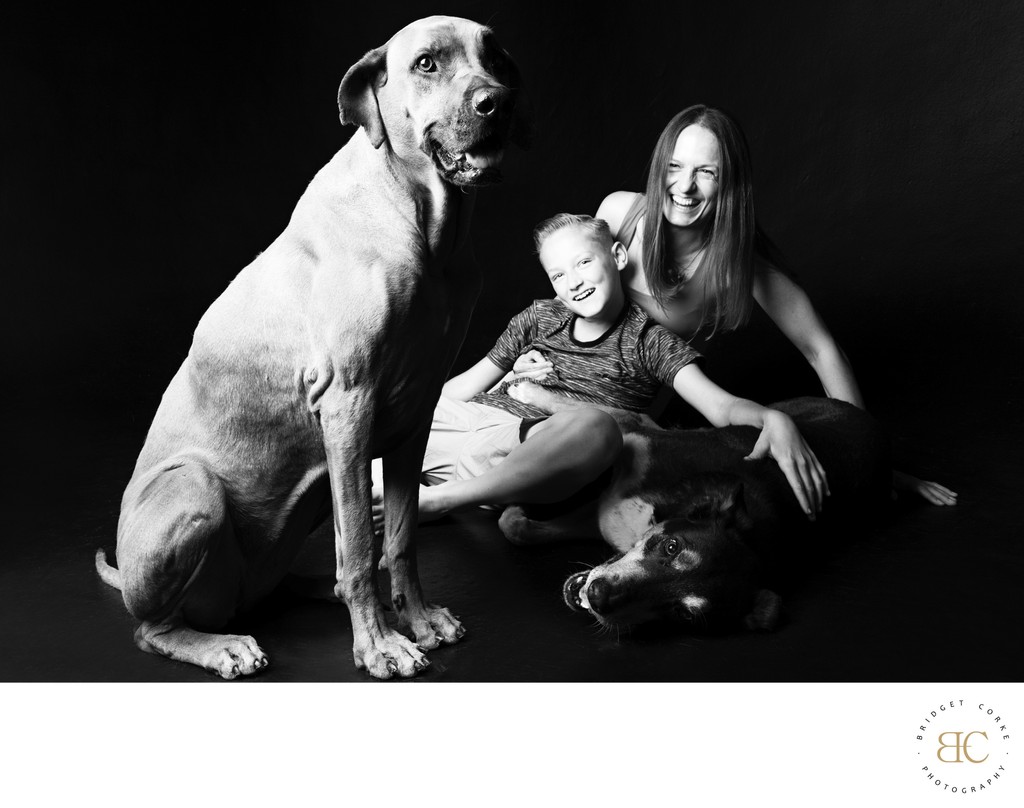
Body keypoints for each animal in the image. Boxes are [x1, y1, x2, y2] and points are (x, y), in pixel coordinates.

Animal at [95, 15, 524, 675]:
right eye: (426, 63)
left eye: (495, 57)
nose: (496, 102)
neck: (422, 221)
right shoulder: (349, 402)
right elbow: (364, 538)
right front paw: (379, 646)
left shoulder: (415, 411)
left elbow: (399, 535)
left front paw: (418, 618)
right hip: (195, 490)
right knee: (153, 628)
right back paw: (223, 644)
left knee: (307, 575)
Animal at [495, 395, 888, 630]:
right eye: (671, 547)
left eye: (681, 613)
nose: (599, 597)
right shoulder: (630, 460)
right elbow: (607, 413)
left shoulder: (607, 515)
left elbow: (516, 527)